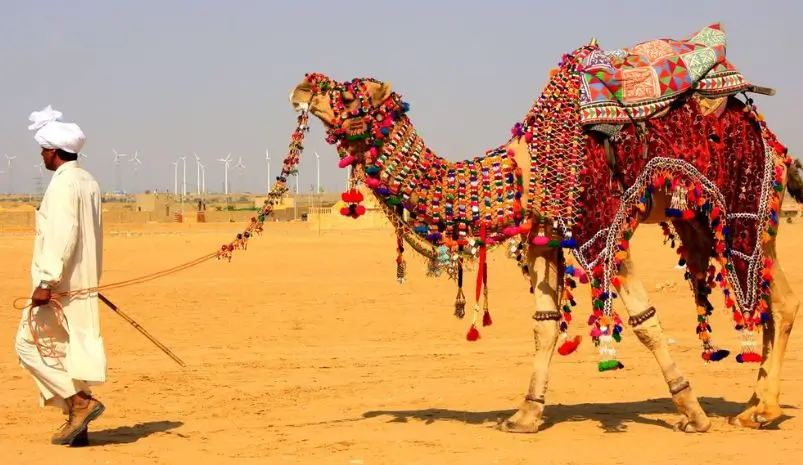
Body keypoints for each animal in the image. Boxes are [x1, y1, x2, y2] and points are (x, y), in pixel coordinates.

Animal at [287, 23, 803, 433]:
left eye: (349, 93)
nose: (301, 85)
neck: (520, 171)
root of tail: (776, 147)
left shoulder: (603, 228)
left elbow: (645, 323)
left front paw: (692, 414)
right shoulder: (544, 239)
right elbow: (545, 325)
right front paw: (525, 415)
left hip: (748, 213)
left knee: (779, 300)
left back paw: (762, 410)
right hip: (707, 221)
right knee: (766, 301)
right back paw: (754, 405)